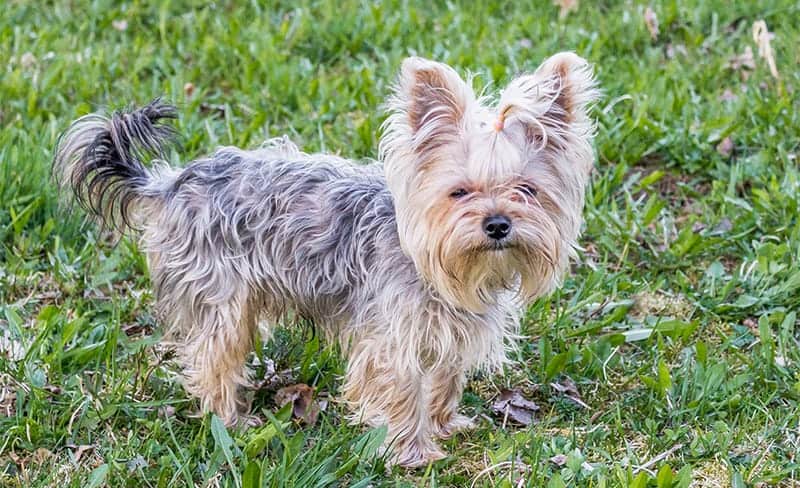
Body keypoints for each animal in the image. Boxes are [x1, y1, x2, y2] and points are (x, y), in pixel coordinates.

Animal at [53, 52, 596, 466]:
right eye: (459, 192)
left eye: (526, 190)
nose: (498, 224)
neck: (439, 264)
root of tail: (171, 183)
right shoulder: (391, 340)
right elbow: (402, 390)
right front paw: (412, 452)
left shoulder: (447, 332)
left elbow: (444, 379)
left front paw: (444, 424)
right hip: (223, 300)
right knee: (212, 359)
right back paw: (231, 420)